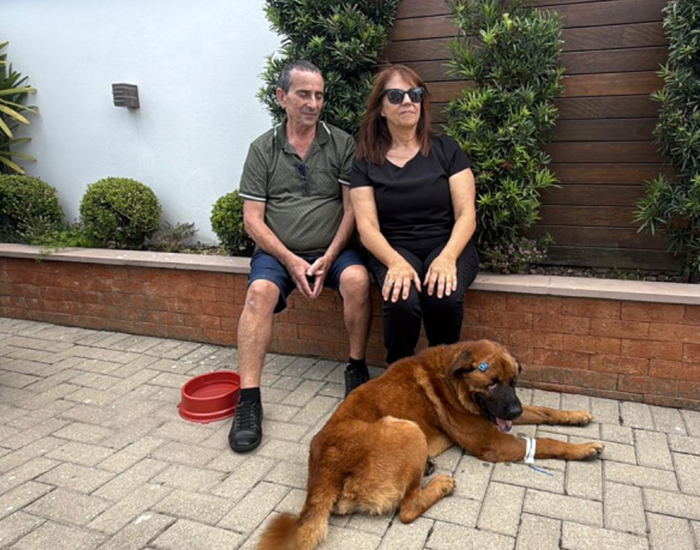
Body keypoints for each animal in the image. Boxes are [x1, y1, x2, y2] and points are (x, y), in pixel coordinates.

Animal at [258, 340, 604, 550]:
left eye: (514, 382)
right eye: (492, 383)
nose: (515, 411)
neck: (453, 378)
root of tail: (324, 471)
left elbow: (546, 411)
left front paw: (576, 416)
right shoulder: (493, 442)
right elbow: (545, 441)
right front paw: (581, 448)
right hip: (408, 430)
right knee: (408, 509)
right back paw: (439, 483)